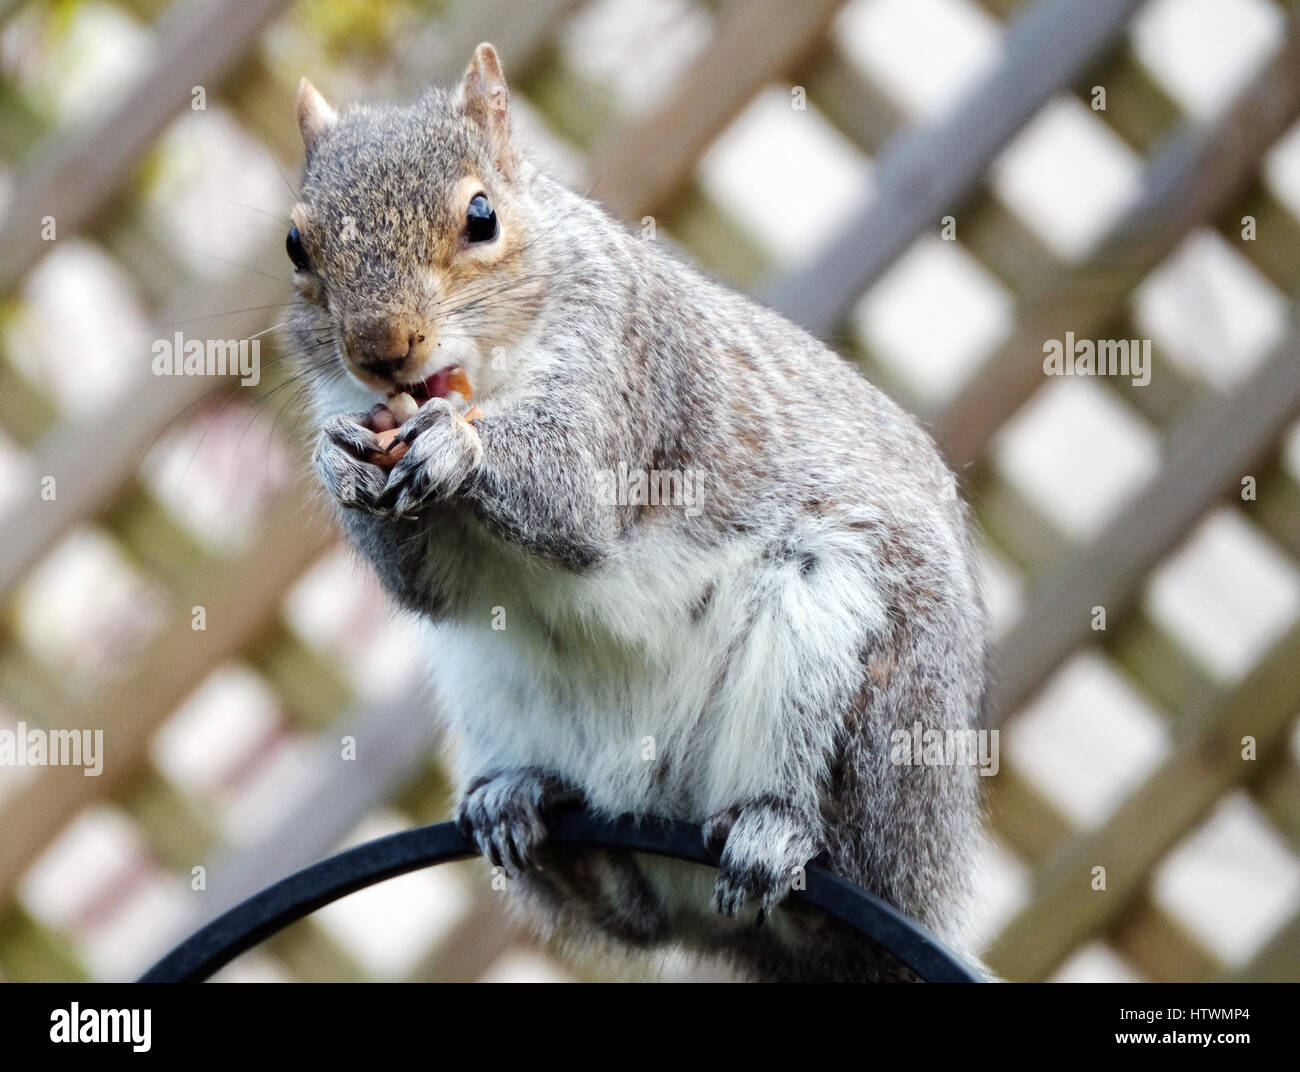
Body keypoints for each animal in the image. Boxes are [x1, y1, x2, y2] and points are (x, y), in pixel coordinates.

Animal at [286, 43, 987, 982]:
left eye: (482, 216)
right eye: (296, 244)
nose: (380, 350)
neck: (489, 382)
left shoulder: (626, 357)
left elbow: (576, 496)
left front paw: (455, 448)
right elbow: (424, 586)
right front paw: (337, 460)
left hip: (865, 672)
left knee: (827, 843)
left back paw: (774, 831)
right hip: (492, 687)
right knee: (634, 912)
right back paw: (535, 815)